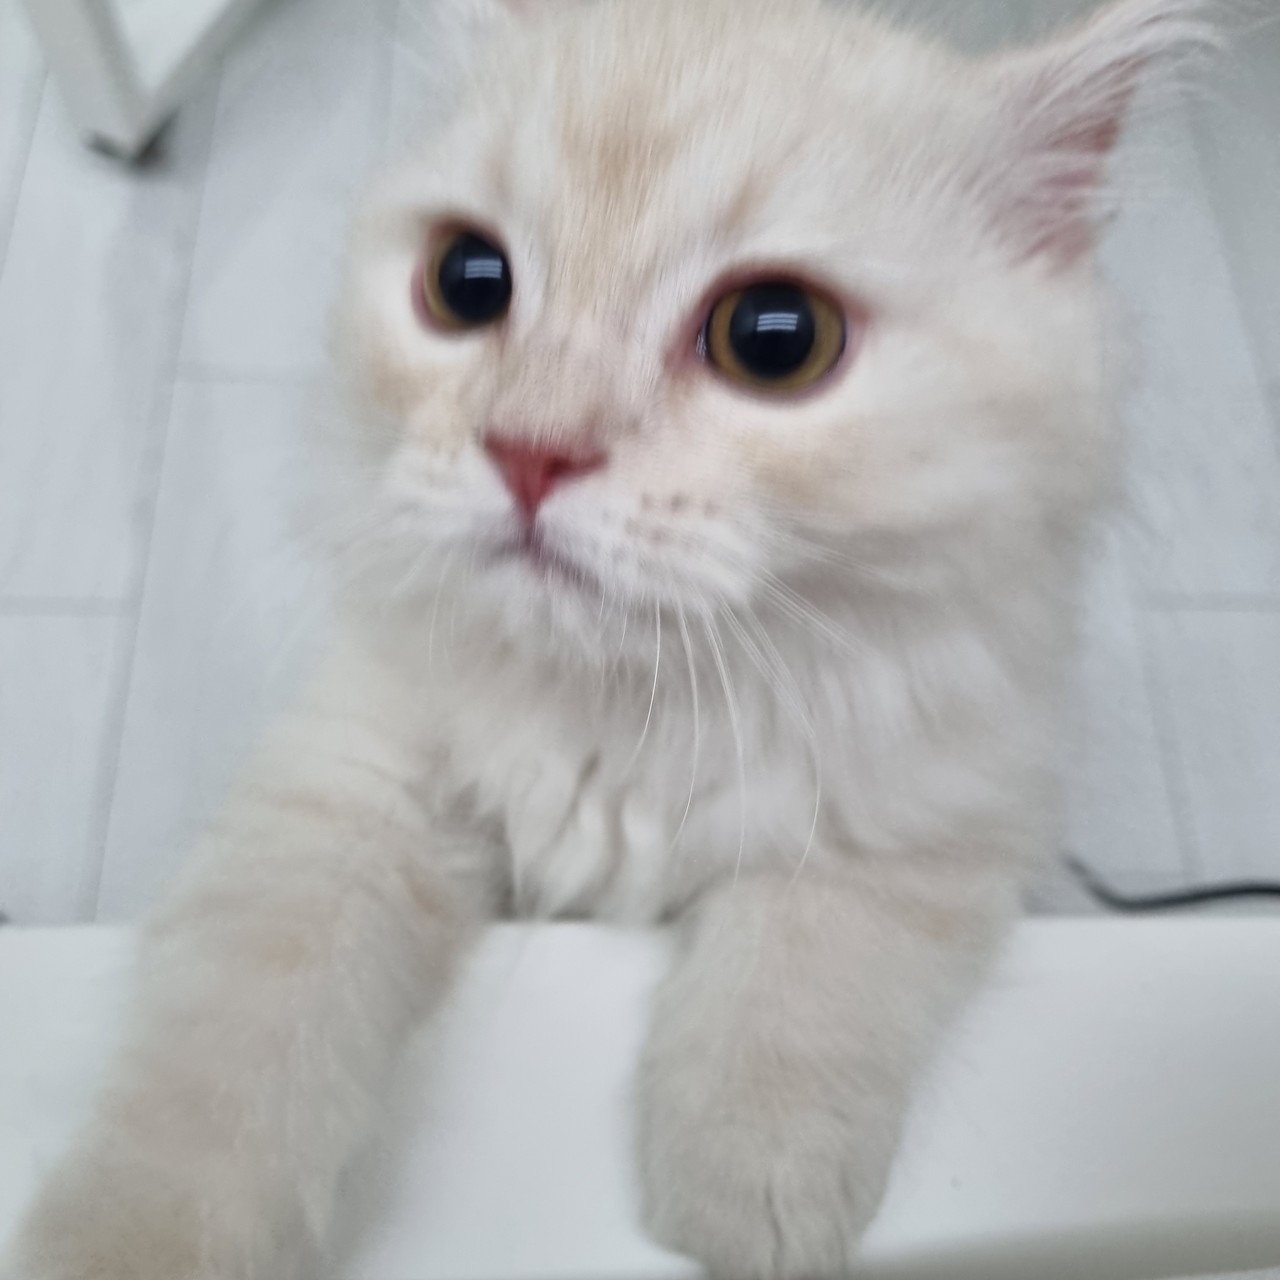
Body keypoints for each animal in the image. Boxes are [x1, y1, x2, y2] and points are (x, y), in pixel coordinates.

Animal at [6, 0, 1214, 1277]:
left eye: (774, 336)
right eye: (466, 281)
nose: (530, 451)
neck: (627, 704)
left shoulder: (943, 804)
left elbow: (809, 963)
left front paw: (756, 1189)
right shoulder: (351, 774)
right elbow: (236, 1020)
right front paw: (133, 1233)